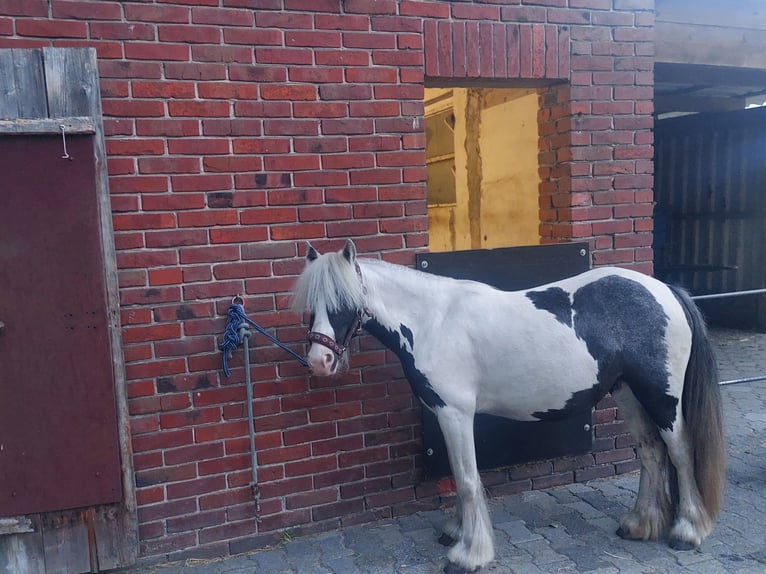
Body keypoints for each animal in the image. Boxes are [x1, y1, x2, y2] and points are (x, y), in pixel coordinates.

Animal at [290, 239, 726, 573]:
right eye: (312, 304)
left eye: (344, 303)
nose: (319, 361)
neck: (433, 321)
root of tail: (665, 290)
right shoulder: (447, 416)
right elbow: (458, 475)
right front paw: (457, 532)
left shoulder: (455, 414)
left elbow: (468, 481)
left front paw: (468, 554)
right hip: (627, 392)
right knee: (651, 452)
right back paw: (639, 524)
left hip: (661, 396)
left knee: (680, 452)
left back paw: (687, 531)